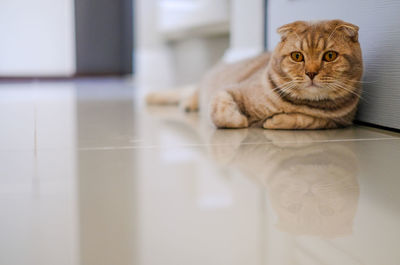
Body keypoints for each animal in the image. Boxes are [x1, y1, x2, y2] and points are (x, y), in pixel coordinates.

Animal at [146, 19, 362, 129]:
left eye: (330, 56)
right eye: (297, 56)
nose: (311, 72)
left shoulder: (337, 121)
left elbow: (307, 120)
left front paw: (275, 121)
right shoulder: (228, 90)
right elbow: (221, 112)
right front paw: (241, 119)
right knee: (192, 91)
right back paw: (186, 103)